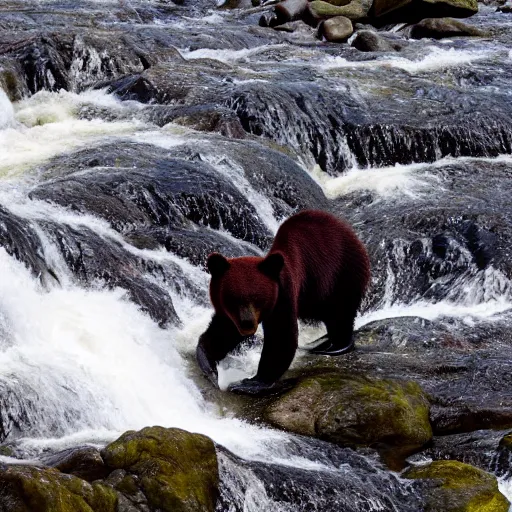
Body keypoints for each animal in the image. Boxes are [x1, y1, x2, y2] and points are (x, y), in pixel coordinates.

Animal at [195, 210, 368, 394]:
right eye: (232, 299)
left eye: (257, 298)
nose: (247, 324)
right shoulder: (230, 314)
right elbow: (223, 332)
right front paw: (209, 365)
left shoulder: (283, 295)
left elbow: (281, 336)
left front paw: (250, 382)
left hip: (342, 272)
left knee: (341, 311)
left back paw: (337, 345)